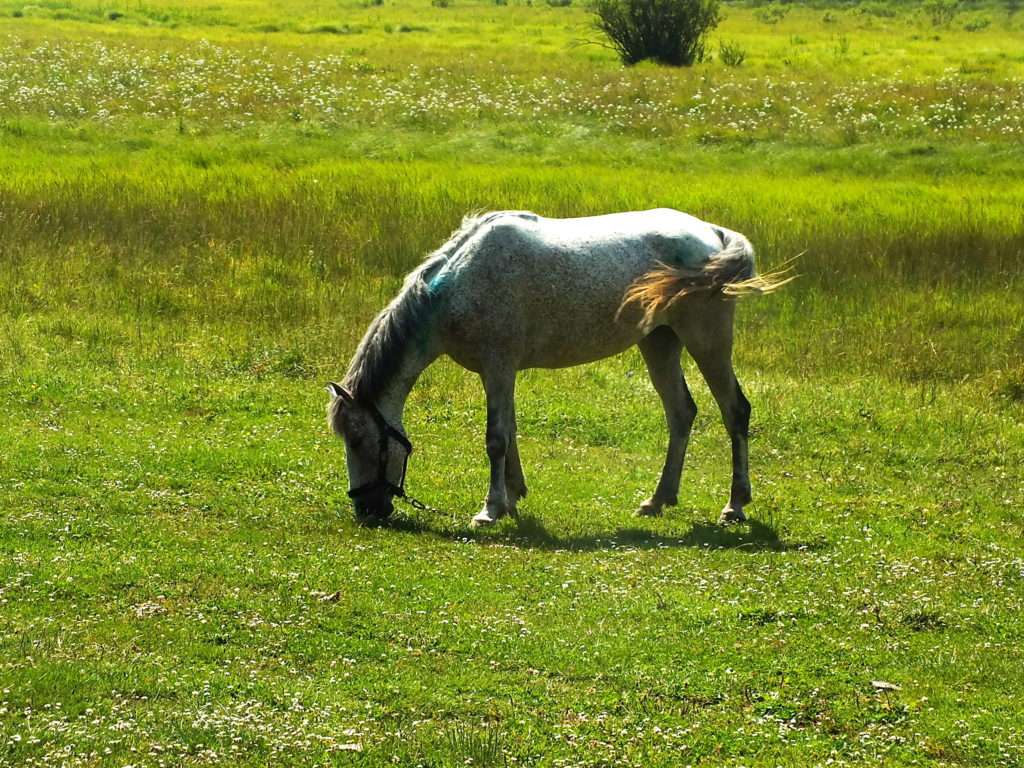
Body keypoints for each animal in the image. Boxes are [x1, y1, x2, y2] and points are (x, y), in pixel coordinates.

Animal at [323, 207, 786, 528]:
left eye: (360, 441)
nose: (366, 509)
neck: (458, 282)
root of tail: (714, 235)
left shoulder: (498, 366)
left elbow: (495, 438)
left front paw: (489, 509)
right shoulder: (499, 373)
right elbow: (509, 431)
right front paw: (512, 497)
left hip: (707, 340)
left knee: (734, 411)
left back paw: (735, 505)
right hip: (659, 342)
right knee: (681, 413)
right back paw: (657, 500)